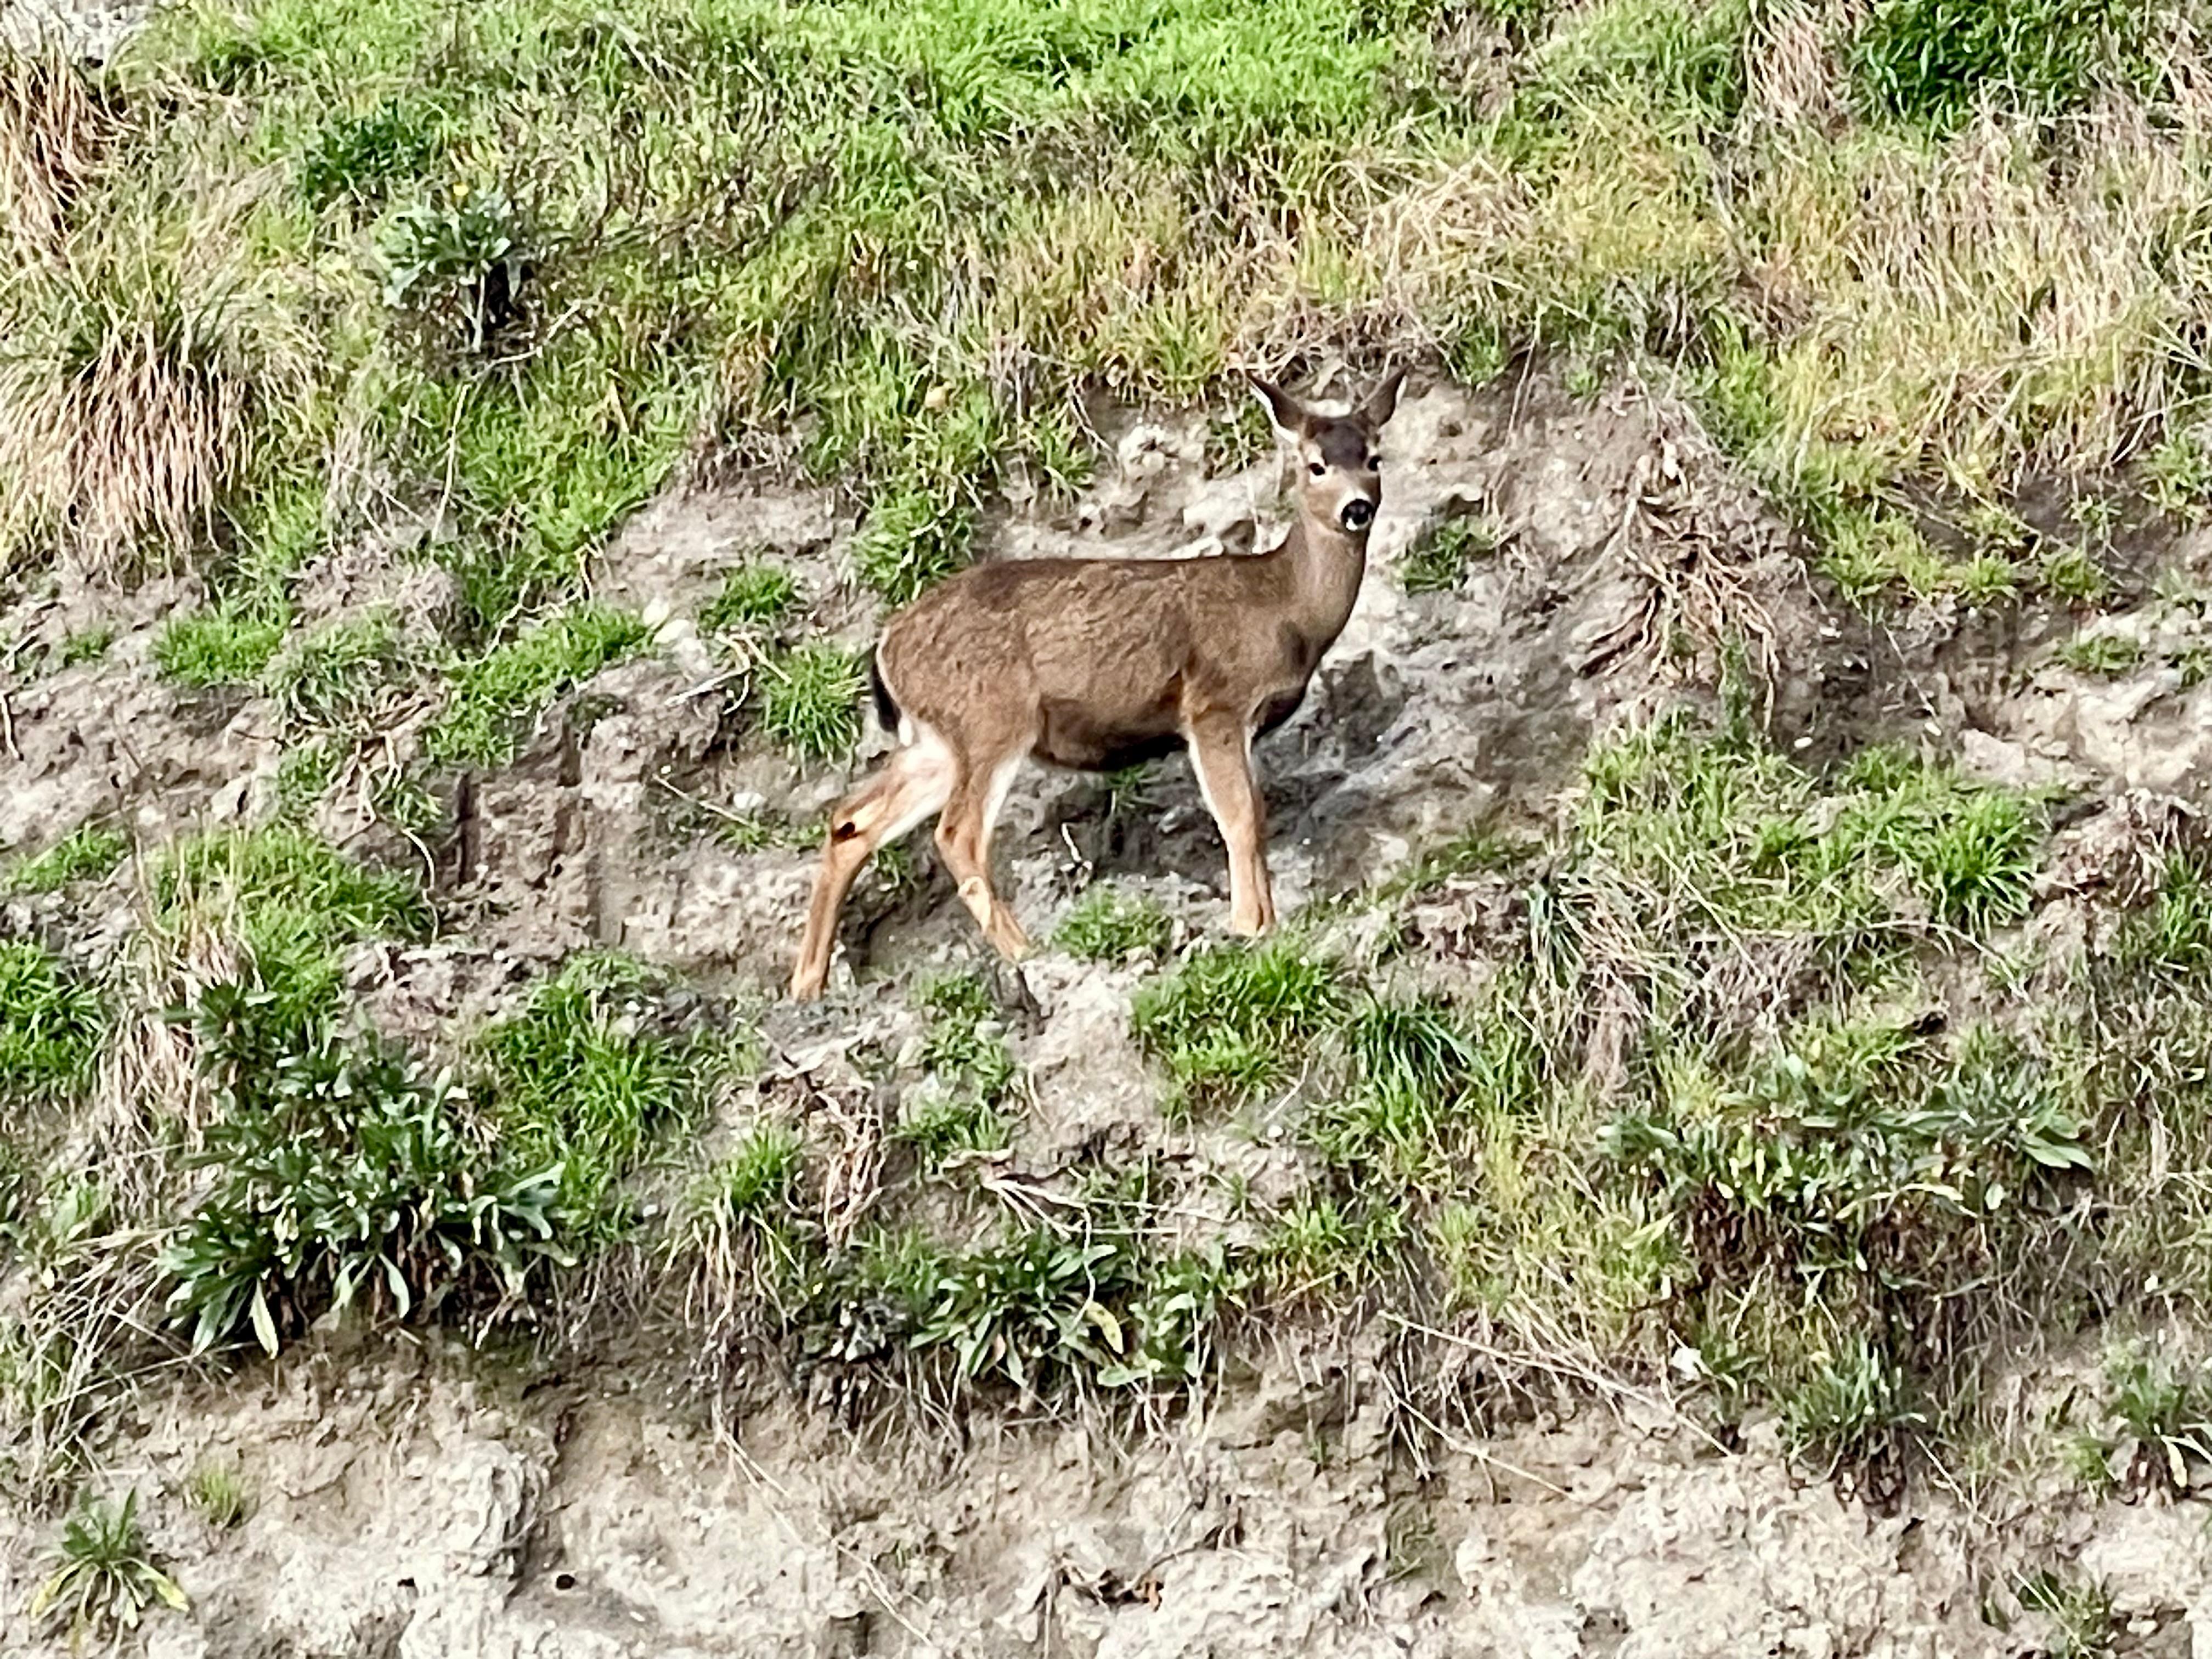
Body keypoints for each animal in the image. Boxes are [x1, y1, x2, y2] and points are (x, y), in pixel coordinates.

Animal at [792, 369, 1398, 1008]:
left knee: (851, 820)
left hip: (936, 741)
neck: (1286, 607)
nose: (1357, 508)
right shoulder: (1214, 704)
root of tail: (885, 645)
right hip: (992, 718)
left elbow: (1254, 818)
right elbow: (1241, 819)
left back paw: (808, 984)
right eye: (1315, 465)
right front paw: (1251, 927)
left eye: (1374, 458)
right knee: (957, 834)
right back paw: (1026, 952)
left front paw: (1265, 921)